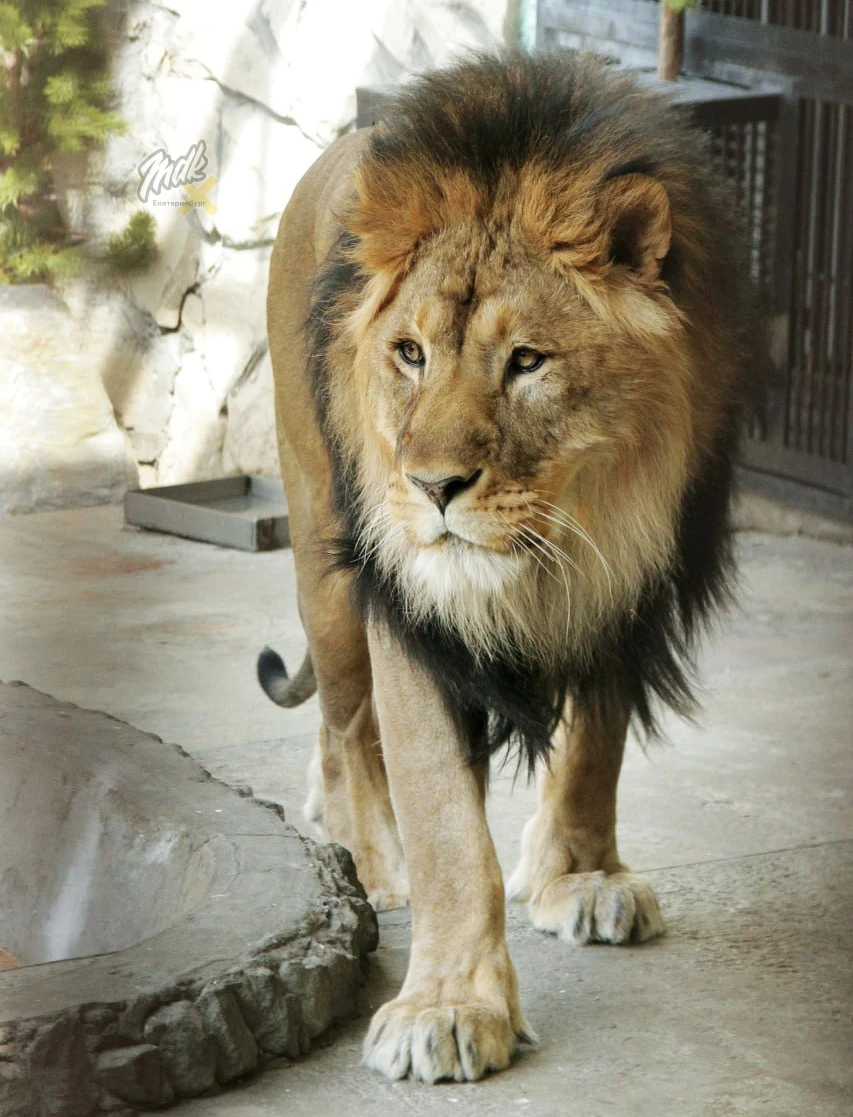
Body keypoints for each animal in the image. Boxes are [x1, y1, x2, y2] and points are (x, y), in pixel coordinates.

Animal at [258, 52, 762, 1083]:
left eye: (528, 360)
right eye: (409, 353)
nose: (432, 486)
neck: (560, 540)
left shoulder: (628, 581)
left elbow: (596, 745)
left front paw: (581, 877)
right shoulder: (406, 606)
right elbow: (445, 817)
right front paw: (448, 1004)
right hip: (325, 565)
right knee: (348, 722)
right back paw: (372, 860)